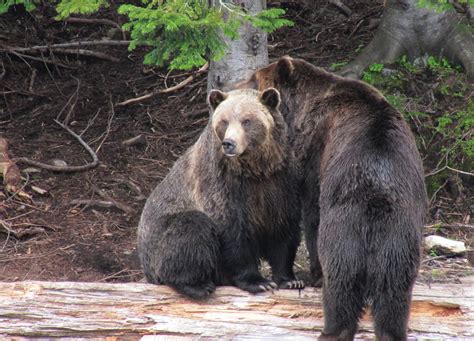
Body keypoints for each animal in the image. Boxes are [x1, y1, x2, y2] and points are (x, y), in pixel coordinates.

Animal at [138, 87, 304, 298]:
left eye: (247, 121)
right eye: (224, 121)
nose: (229, 143)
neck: (254, 170)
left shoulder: (280, 181)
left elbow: (283, 229)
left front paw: (290, 280)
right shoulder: (220, 184)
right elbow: (232, 231)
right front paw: (258, 282)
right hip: (159, 236)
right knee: (191, 227)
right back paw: (197, 285)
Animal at [239, 57, 428, 338]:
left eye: (254, 79)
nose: (233, 88)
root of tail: (376, 203)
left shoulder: (316, 151)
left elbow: (311, 210)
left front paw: (314, 275)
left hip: (344, 231)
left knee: (341, 287)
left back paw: (330, 329)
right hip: (399, 243)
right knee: (394, 299)